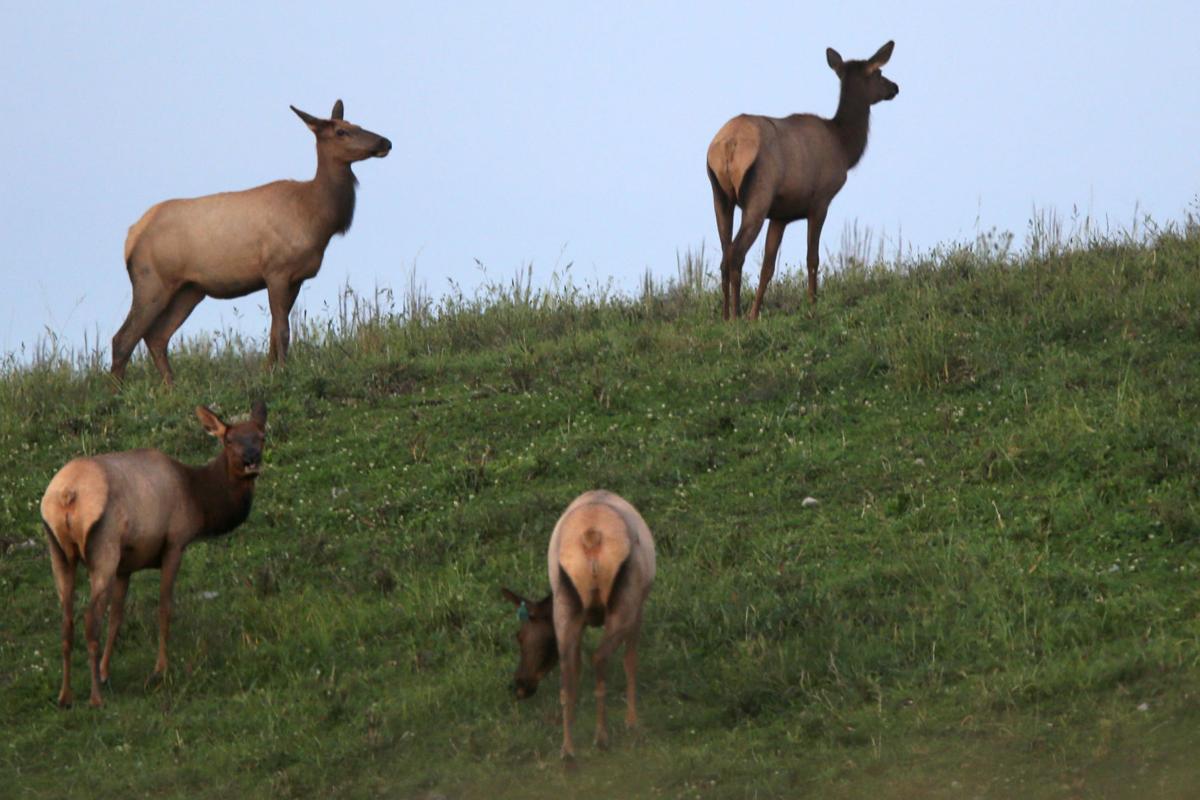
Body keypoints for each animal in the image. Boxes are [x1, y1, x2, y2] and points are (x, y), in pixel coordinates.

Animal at [40, 401, 267, 708]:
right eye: (229, 440)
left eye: (261, 436)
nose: (251, 460)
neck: (199, 501)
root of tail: (68, 495)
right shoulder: (174, 543)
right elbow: (164, 609)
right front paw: (160, 669)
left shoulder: (125, 565)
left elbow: (117, 617)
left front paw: (104, 671)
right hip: (104, 548)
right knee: (90, 620)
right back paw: (95, 698)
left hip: (60, 552)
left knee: (67, 620)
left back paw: (65, 695)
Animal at [111, 100, 391, 385]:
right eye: (340, 132)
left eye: (356, 124)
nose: (385, 142)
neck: (318, 219)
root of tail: (131, 237)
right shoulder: (276, 270)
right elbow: (282, 330)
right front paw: (283, 373)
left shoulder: (296, 278)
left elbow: (274, 332)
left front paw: (270, 373)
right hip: (152, 280)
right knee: (123, 338)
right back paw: (117, 391)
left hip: (189, 290)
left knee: (156, 336)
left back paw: (171, 387)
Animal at [501, 490, 656, 762]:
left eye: (519, 635)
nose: (519, 684)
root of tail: (590, 537)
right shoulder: (638, 609)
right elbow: (630, 662)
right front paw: (632, 722)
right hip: (625, 602)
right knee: (600, 656)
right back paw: (602, 736)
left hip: (566, 605)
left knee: (567, 672)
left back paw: (568, 749)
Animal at [706, 41, 899, 320]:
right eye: (878, 73)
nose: (895, 87)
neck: (844, 148)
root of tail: (728, 145)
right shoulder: (820, 201)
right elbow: (812, 258)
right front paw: (812, 304)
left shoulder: (780, 215)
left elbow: (768, 267)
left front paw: (755, 315)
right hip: (758, 195)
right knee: (736, 253)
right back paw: (735, 315)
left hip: (719, 194)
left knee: (724, 252)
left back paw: (725, 317)